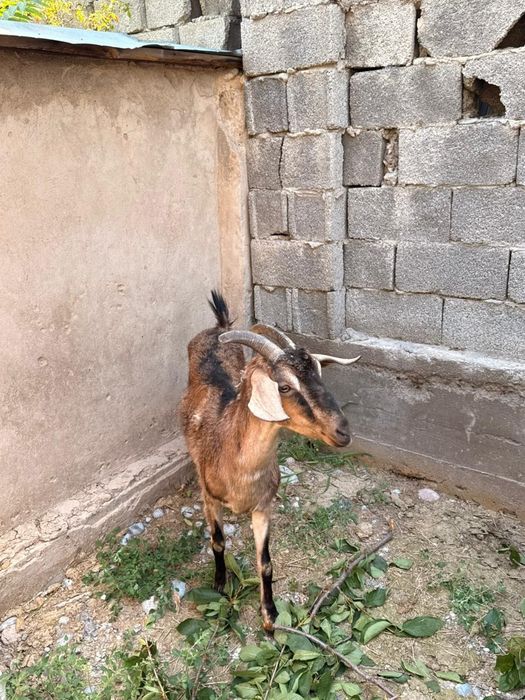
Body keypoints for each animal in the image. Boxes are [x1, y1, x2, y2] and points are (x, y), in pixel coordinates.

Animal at [180, 291, 360, 630]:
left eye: (320, 374)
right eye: (285, 386)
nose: (343, 431)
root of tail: (217, 328)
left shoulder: (263, 506)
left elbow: (265, 563)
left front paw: (270, 615)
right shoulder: (209, 498)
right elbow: (218, 542)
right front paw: (219, 584)